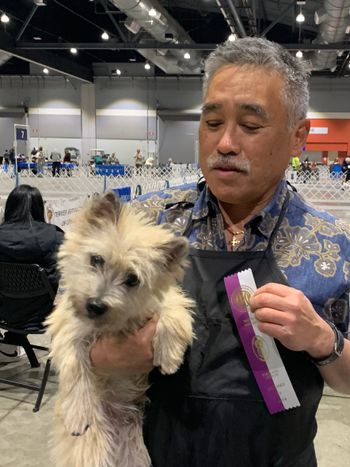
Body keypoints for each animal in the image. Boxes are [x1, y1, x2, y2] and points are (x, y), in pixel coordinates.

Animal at [46, 193, 194, 467]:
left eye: (132, 279)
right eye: (96, 260)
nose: (95, 305)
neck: (113, 324)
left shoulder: (168, 299)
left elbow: (173, 313)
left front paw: (169, 355)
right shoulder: (68, 326)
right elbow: (75, 364)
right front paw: (78, 413)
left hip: (134, 454)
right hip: (91, 449)